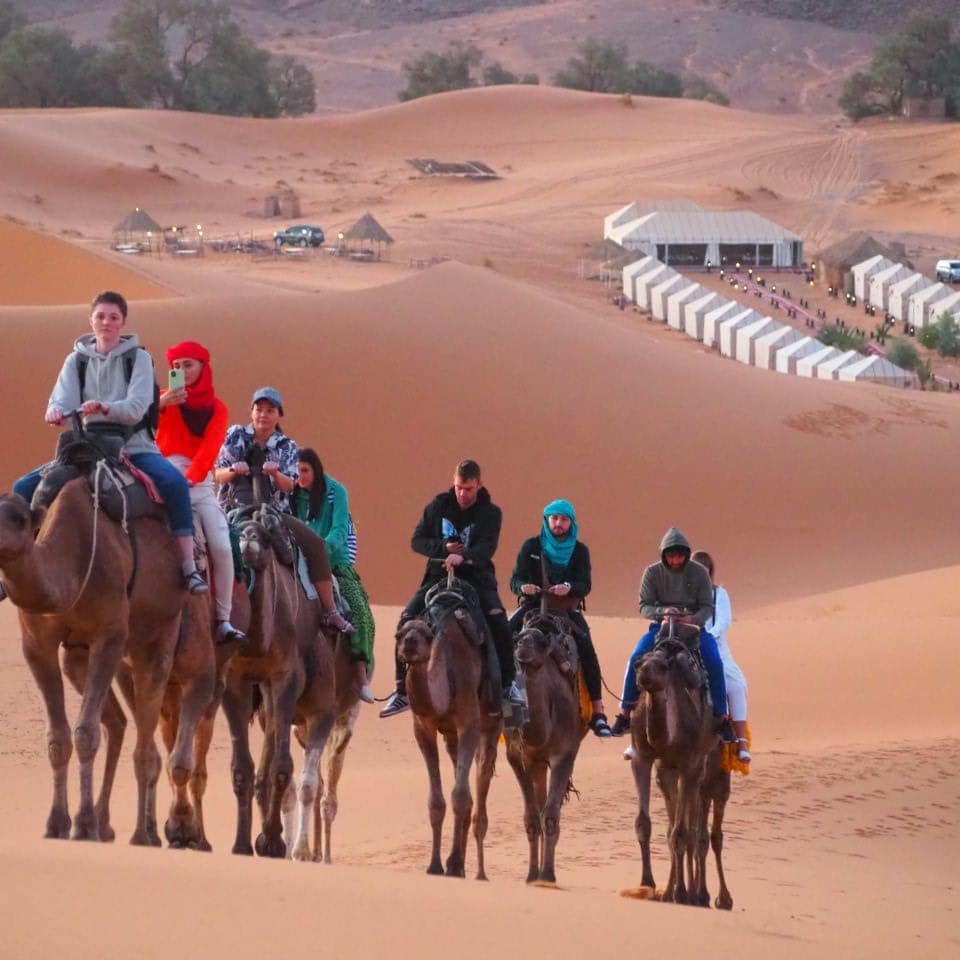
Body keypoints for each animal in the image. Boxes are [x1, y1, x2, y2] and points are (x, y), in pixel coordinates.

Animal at [0, 484, 192, 844]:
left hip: (160, 633)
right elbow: (58, 738)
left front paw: (84, 825)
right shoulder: (37, 645)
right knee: (117, 722)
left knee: (146, 736)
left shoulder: (110, 634)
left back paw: (142, 834)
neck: (71, 568)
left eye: (19, 518)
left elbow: (85, 733)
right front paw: (56, 823)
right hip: (79, 657)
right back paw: (112, 826)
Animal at [222, 506, 338, 860]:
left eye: (264, 534)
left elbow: (281, 766)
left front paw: (272, 841)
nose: (248, 537)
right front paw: (242, 844)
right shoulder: (234, 680)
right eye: (236, 529)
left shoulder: (286, 677)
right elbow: (241, 767)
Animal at [398, 572, 502, 880]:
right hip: (451, 737)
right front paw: (436, 865)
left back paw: (478, 871)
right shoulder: (424, 727)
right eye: (400, 633)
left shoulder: (469, 724)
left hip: (491, 726)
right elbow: (437, 800)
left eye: (426, 635)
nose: (409, 643)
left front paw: (454, 864)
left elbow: (460, 796)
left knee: (479, 790)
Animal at [502, 612, 584, 888]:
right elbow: (531, 817)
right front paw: (531, 875)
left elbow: (550, 816)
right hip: (536, 763)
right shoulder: (521, 756)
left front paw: (547, 875)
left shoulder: (565, 754)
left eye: (539, 642)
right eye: (517, 638)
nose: (521, 647)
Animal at [628, 620, 732, 912]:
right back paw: (693, 893)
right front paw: (651, 885)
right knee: (694, 830)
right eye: (638, 664)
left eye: (662, 667)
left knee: (712, 833)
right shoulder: (647, 760)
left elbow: (681, 833)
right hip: (683, 777)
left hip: (717, 772)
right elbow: (651, 825)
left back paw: (719, 897)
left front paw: (680, 892)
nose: (644, 674)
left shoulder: (689, 764)